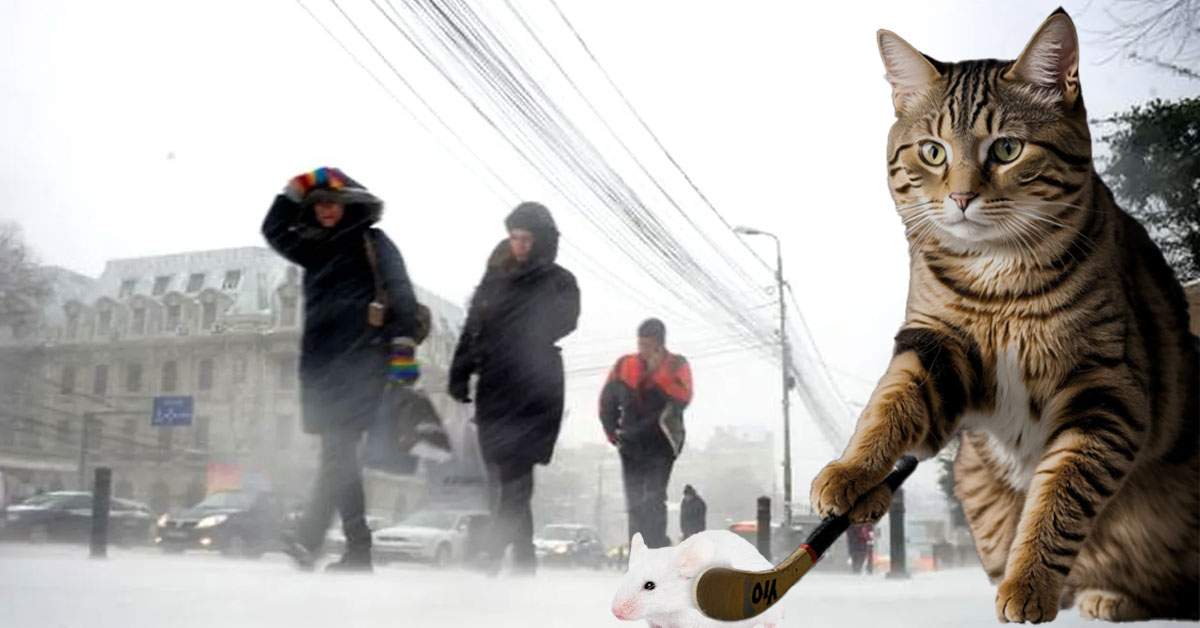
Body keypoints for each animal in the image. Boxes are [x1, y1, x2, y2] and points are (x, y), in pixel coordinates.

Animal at [811, 6, 1195, 624]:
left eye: (1008, 149)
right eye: (933, 151)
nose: (962, 197)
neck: (1000, 284)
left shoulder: (1106, 390)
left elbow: (1062, 493)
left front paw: (1029, 580)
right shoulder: (937, 347)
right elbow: (889, 405)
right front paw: (854, 472)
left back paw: (1107, 595)